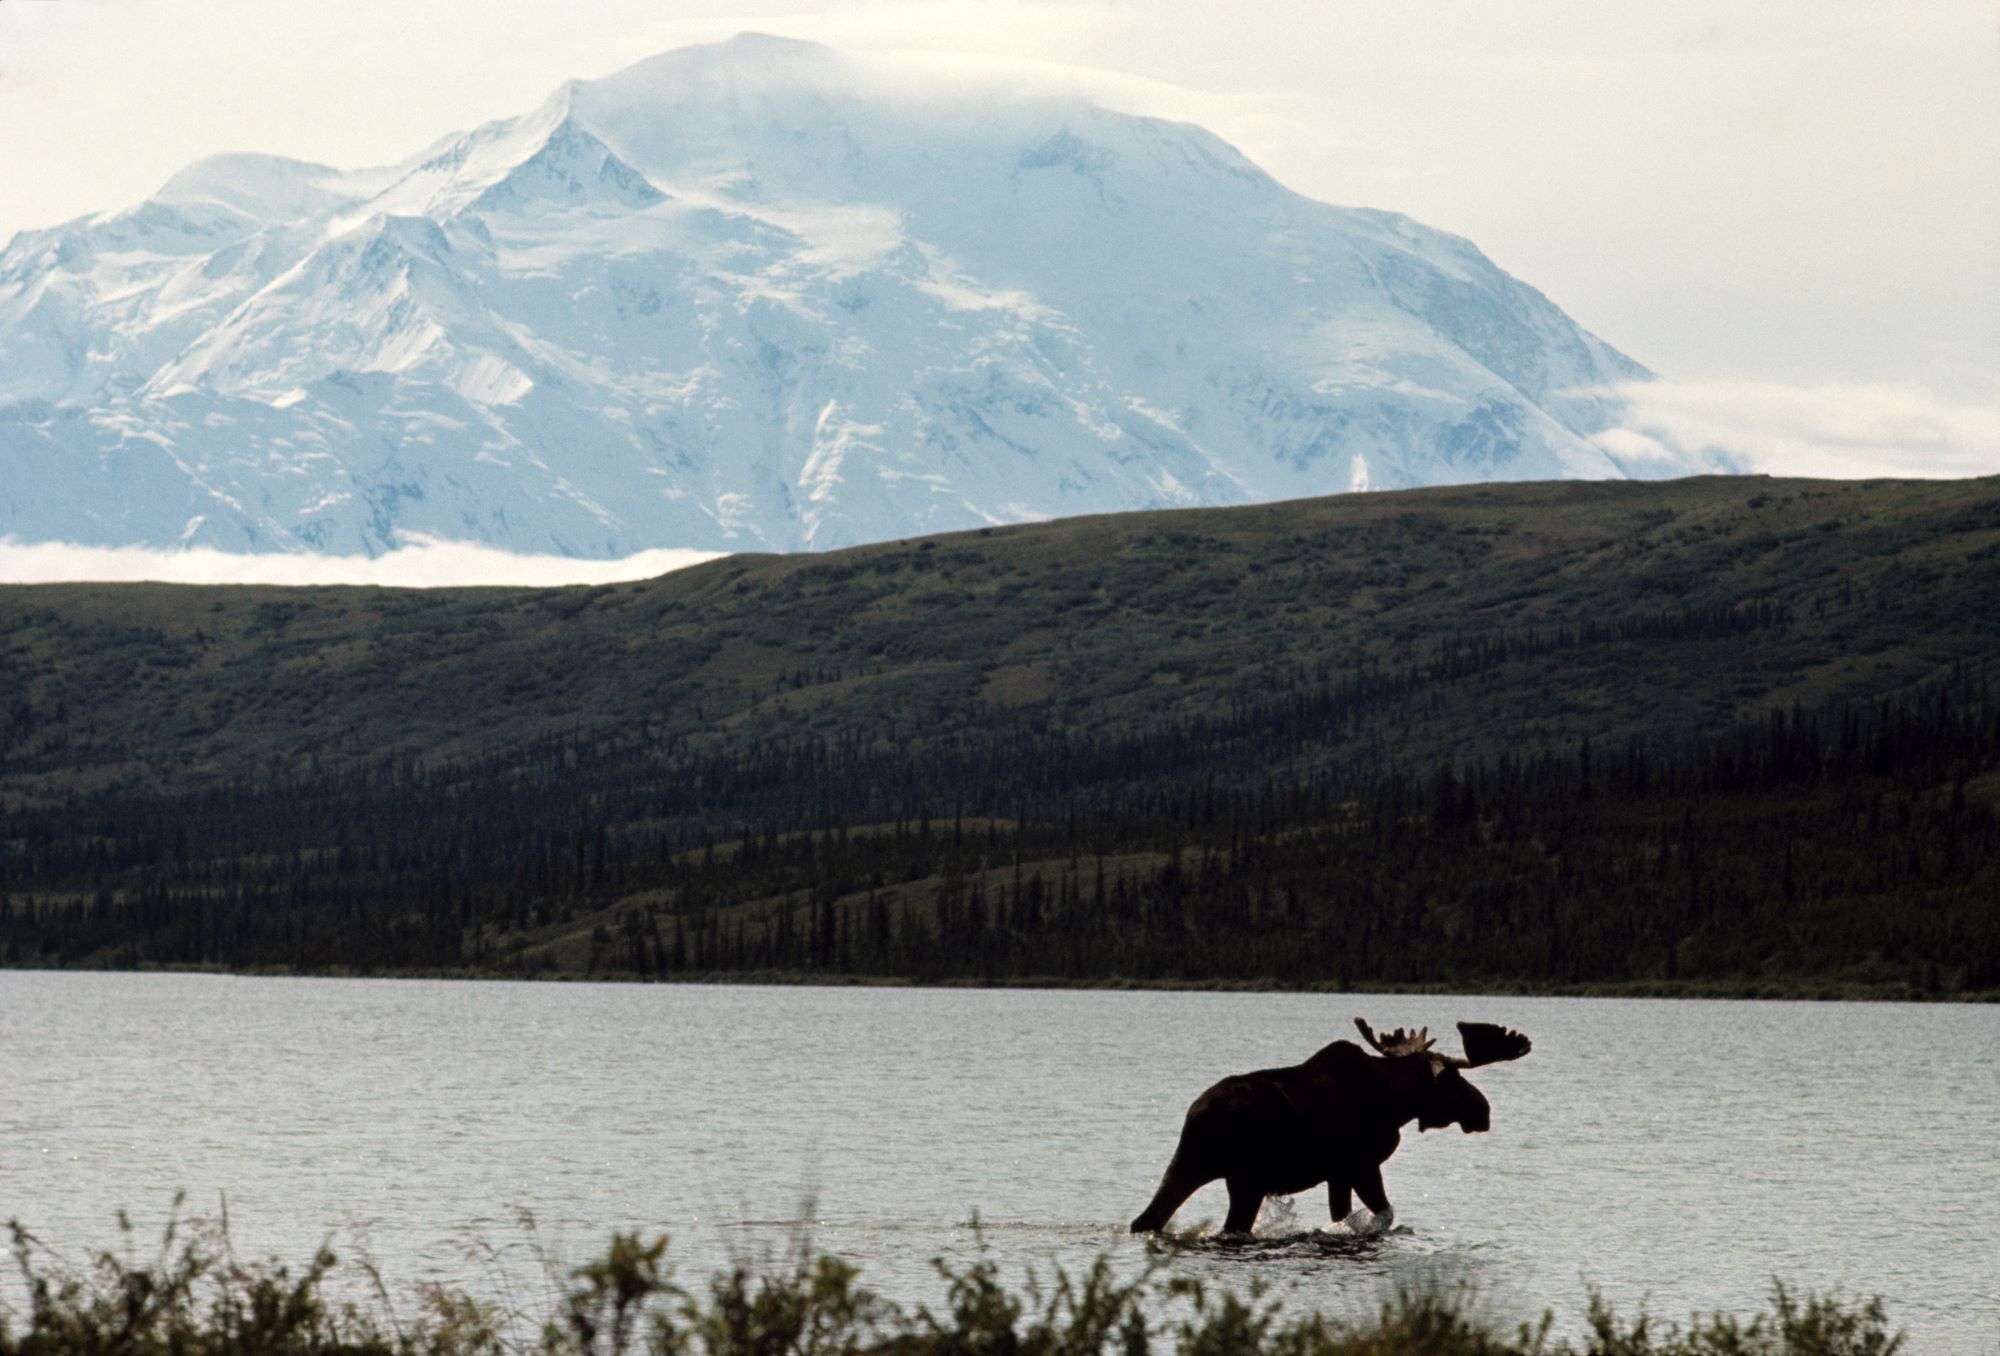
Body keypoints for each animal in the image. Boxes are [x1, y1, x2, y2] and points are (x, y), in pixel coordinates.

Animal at [1128, 1020, 1528, 1232]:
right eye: (1455, 1080)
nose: (1483, 1110)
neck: (1397, 1101)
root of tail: (1197, 1113)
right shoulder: (1361, 1164)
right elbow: (1381, 1215)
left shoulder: (1338, 1174)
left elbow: (1344, 1214)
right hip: (1246, 1180)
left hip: (1189, 1164)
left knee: (1147, 1218)